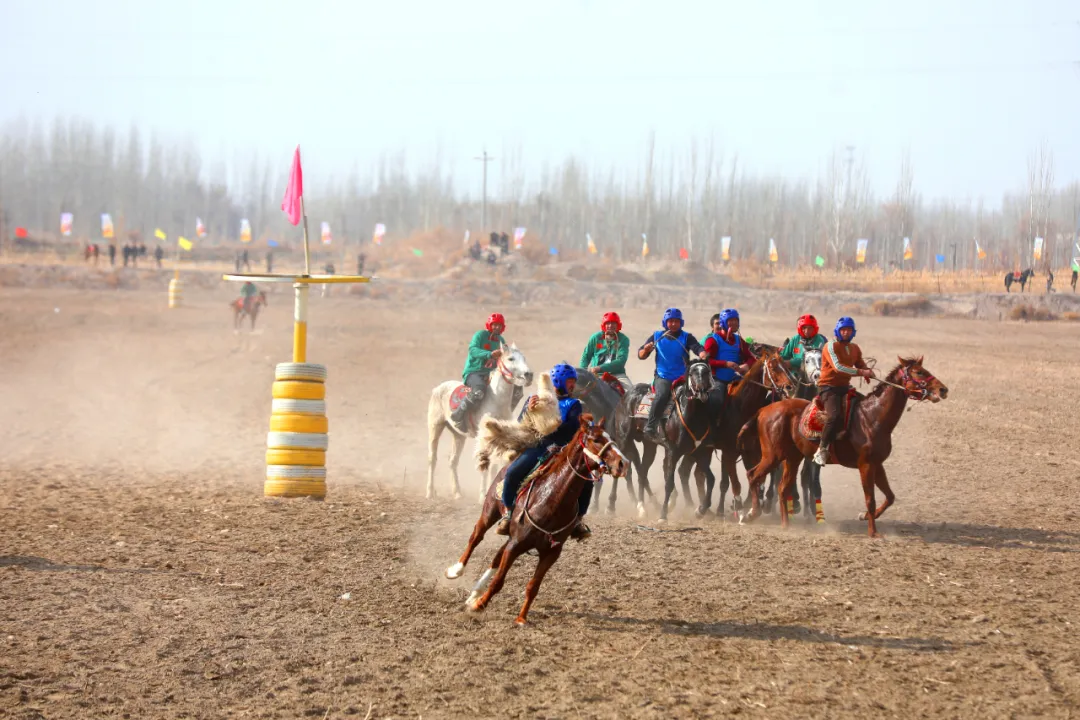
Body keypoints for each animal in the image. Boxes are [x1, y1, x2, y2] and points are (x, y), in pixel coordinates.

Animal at [427, 345, 533, 505]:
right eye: (510, 358)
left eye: (524, 358)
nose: (528, 375)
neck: (496, 400)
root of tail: (438, 388)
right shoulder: (484, 438)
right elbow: (485, 465)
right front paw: (483, 497)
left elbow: (494, 467)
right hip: (435, 427)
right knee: (432, 459)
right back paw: (430, 493)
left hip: (458, 436)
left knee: (453, 462)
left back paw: (457, 493)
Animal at [444, 416, 630, 626]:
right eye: (596, 439)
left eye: (610, 437)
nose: (623, 463)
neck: (552, 500)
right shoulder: (516, 544)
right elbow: (499, 580)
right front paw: (479, 605)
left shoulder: (551, 552)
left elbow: (533, 586)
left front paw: (521, 618)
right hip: (490, 512)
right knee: (476, 537)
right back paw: (456, 571)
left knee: (496, 556)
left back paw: (474, 594)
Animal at [738, 354, 950, 535]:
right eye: (919, 372)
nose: (943, 389)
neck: (872, 417)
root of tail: (764, 410)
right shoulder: (865, 465)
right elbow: (870, 499)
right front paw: (873, 533)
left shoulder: (877, 464)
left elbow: (890, 497)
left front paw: (863, 517)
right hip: (772, 456)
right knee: (753, 475)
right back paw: (750, 514)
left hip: (792, 458)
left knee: (782, 488)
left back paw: (785, 525)